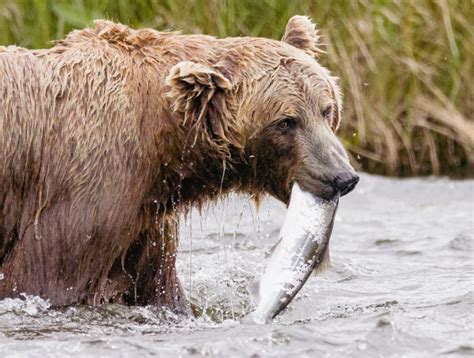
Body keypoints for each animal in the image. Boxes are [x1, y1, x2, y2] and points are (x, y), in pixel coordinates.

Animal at [0, 15, 356, 312]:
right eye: (286, 122)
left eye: (326, 109)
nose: (342, 177)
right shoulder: (87, 186)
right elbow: (45, 279)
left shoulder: (148, 220)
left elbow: (159, 289)